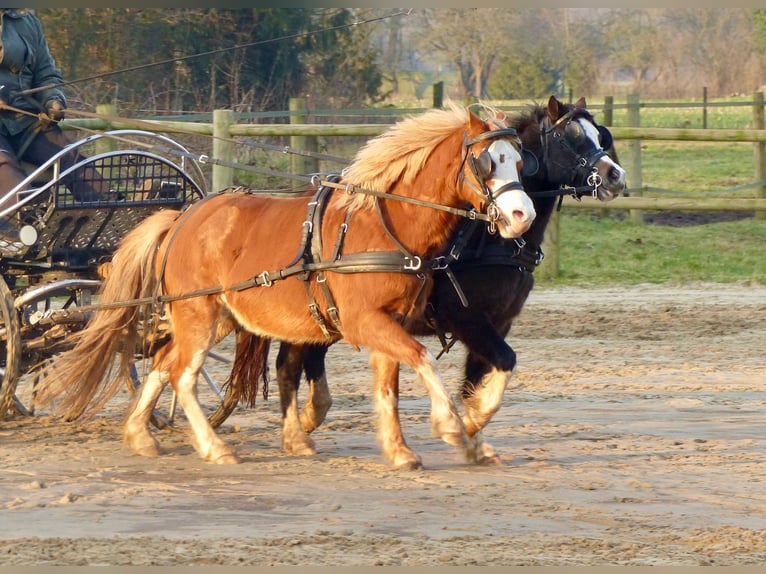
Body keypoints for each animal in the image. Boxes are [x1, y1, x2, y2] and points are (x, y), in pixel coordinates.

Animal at [33, 101, 536, 466]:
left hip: (214, 317)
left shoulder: (388, 321)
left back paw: (140, 435)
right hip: (199, 315)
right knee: (183, 375)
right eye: (486, 162)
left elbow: (389, 386)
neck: (383, 223)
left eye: (520, 162)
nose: (522, 215)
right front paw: (454, 429)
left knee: (161, 363)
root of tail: (181, 219)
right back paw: (214, 447)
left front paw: (403, 449)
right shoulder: (366, 322)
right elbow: (422, 360)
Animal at [260, 95, 628, 472]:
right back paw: (302, 426)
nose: (615, 175)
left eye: (599, 135)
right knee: (290, 363)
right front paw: (468, 423)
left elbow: (478, 378)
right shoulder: (464, 317)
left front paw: (474, 437)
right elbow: (503, 361)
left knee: (299, 357)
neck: (487, 237)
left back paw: (306, 420)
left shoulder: (498, 322)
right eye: (570, 137)